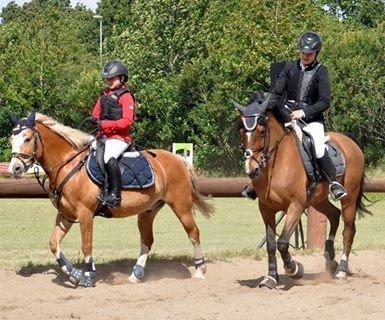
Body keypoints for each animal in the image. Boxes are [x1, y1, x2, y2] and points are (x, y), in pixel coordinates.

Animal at [8, 112, 213, 288]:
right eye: (11, 140)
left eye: (27, 138)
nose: (15, 168)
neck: (68, 165)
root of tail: (180, 159)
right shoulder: (66, 215)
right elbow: (53, 244)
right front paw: (74, 275)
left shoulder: (85, 214)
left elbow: (86, 246)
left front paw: (88, 277)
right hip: (147, 211)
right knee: (147, 240)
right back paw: (136, 275)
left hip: (181, 206)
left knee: (193, 233)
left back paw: (200, 270)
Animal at [234, 96, 368, 288]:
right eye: (241, 131)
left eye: (262, 130)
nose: (251, 170)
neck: (277, 163)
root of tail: (349, 141)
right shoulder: (266, 208)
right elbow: (271, 244)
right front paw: (271, 277)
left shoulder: (295, 206)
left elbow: (282, 242)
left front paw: (295, 269)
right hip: (317, 200)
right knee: (334, 215)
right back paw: (330, 259)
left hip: (349, 197)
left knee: (348, 230)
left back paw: (341, 270)